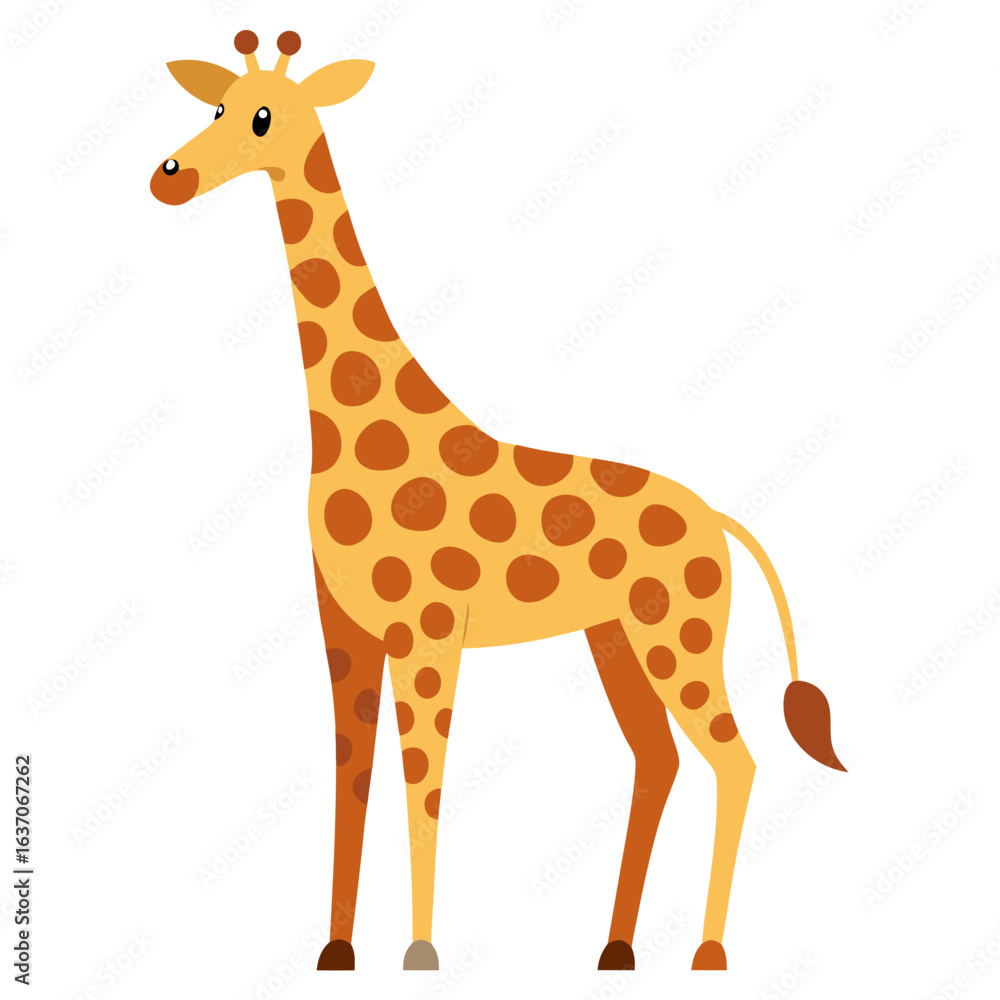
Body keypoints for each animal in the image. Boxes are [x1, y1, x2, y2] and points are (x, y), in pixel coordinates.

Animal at [150, 31, 846, 974]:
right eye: (216, 104)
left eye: (263, 116)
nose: (170, 175)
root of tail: (721, 522)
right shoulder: (344, 628)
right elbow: (351, 781)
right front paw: (336, 951)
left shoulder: (429, 631)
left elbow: (425, 788)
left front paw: (420, 951)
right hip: (617, 640)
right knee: (659, 760)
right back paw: (615, 948)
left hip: (681, 636)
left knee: (734, 762)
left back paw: (707, 953)